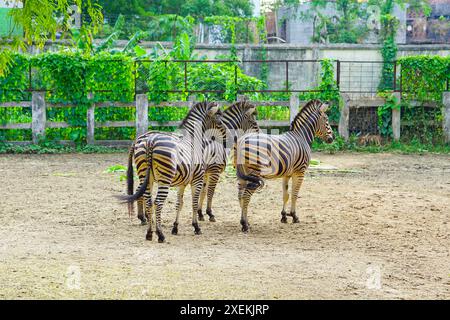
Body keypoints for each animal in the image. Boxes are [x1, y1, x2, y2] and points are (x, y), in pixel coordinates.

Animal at [120, 101, 227, 241]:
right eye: (219, 119)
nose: (225, 138)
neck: (194, 140)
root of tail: (149, 141)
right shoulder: (197, 179)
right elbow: (193, 203)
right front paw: (196, 226)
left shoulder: (182, 182)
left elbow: (179, 203)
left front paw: (175, 227)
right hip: (165, 179)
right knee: (158, 202)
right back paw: (160, 234)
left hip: (146, 177)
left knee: (148, 201)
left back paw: (149, 233)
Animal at [234, 99, 332, 231]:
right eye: (326, 120)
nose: (332, 139)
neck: (301, 137)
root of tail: (243, 140)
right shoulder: (300, 172)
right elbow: (295, 194)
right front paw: (294, 216)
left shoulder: (287, 174)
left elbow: (286, 195)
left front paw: (284, 216)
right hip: (254, 173)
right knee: (246, 195)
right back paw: (245, 224)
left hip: (242, 174)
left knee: (240, 195)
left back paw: (245, 222)